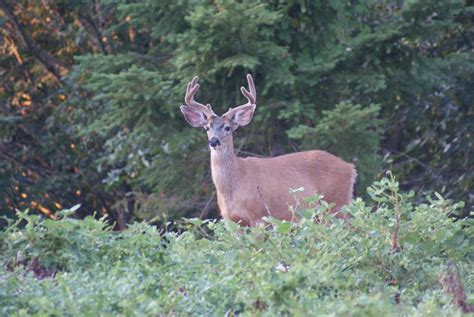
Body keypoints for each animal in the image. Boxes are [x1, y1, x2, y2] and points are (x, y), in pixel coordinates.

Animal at [180, 74, 358, 226]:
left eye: (227, 127)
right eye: (207, 128)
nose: (214, 141)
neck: (233, 185)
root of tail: (350, 168)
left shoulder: (259, 215)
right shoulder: (233, 221)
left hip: (335, 203)